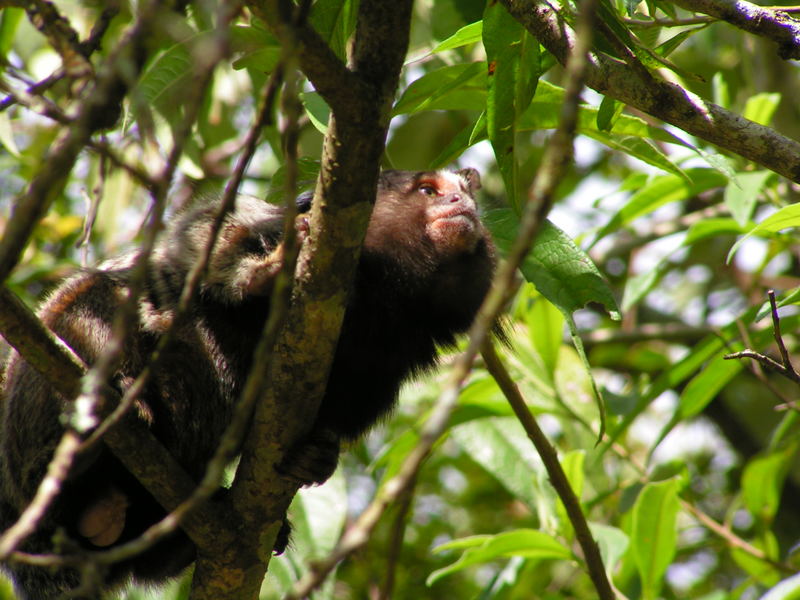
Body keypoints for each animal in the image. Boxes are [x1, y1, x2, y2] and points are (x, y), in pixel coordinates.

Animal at [0, 166, 496, 596]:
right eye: (429, 191)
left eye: (465, 195)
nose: (460, 203)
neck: (380, 297)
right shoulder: (280, 227)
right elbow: (201, 233)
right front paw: (263, 275)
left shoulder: (389, 358)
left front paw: (317, 455)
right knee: (93, 299)